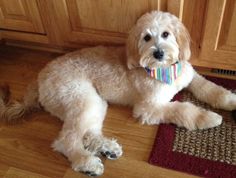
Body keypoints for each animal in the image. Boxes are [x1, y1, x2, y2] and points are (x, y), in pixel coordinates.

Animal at [0, 11, 236, 177]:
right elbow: (183, 109)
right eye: (147, 37)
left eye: (166, 34)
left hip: (93, 103)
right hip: (82, 98)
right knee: (66, 140)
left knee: (88, 134)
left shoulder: (191, 77)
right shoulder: (149, 107)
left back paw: (108, 149)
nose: (158, 53)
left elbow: (211, 89)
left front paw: (230, 100)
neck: (165, 70)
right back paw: (87, 163)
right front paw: (208, 117)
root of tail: (40, 77)